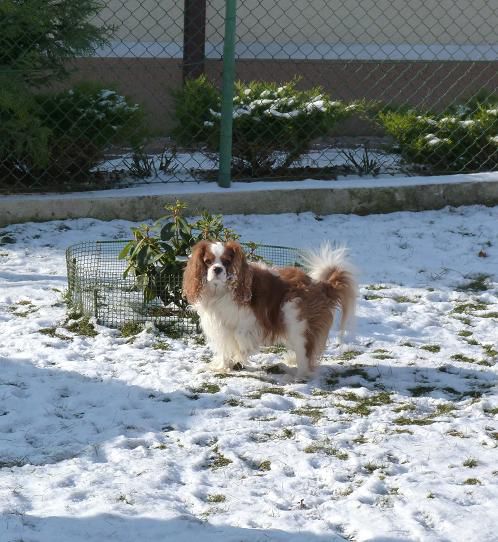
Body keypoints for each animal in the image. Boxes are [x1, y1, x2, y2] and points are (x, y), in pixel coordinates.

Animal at [181, 240, 356, 380]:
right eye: (208, 261)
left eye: (226, 262)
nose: (217, 269)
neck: (220, 291)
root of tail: (320, 285)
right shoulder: (220, 326)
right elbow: (225, 347)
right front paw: (223, 366)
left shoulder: (249, 322)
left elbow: (240, 340)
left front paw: (239, 356)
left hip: (296, 322)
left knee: (305, 352)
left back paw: (297, 377)